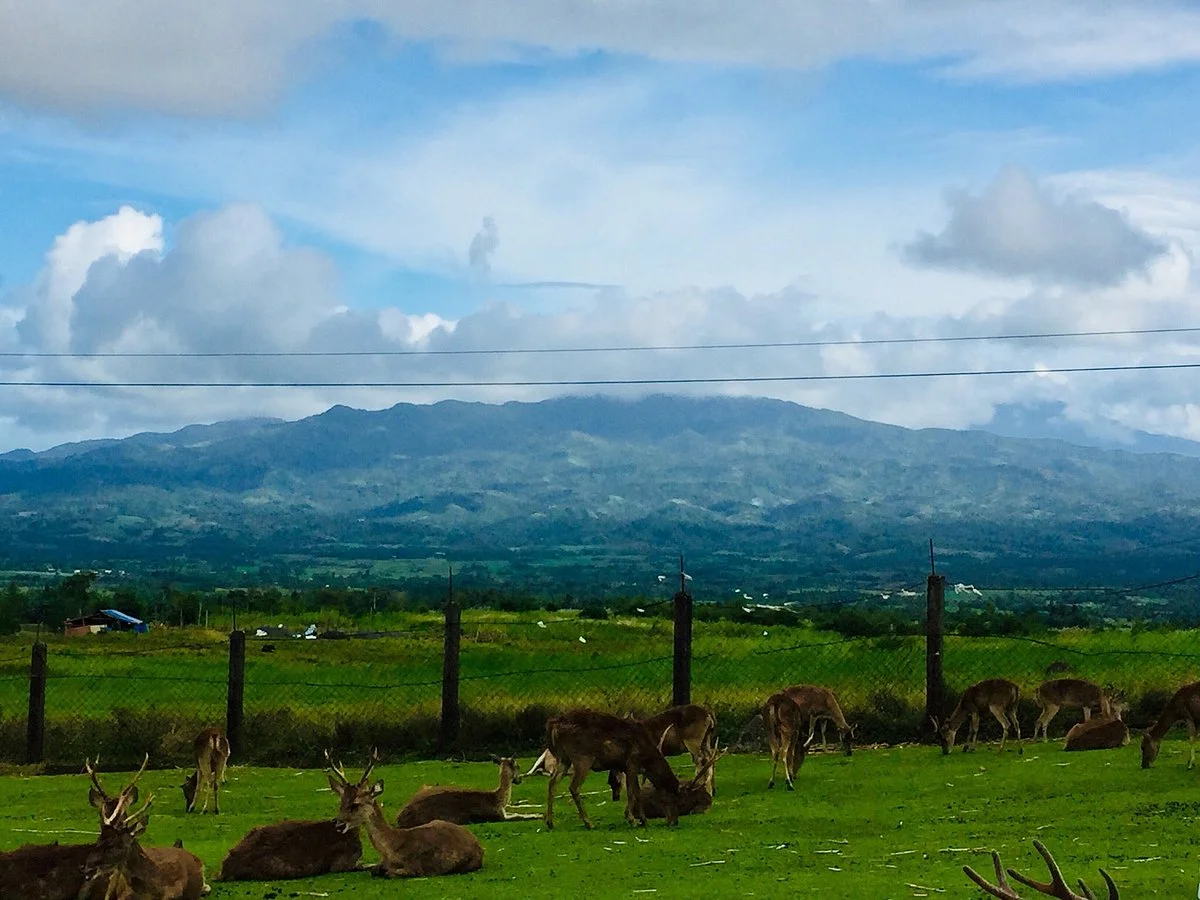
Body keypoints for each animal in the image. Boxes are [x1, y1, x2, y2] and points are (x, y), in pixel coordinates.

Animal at [327, 749, 484, 878]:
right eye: (341, 802)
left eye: (355, 804)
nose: (338, 823)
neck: (392, 850)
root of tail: (477, 843)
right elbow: (375, 870)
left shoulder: (416, 868)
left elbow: (389, 873)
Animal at [393, 756, 540, 827]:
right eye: (518, 766)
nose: (519, 780)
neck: (496, 799)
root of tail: (399, 817)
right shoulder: (497, 816)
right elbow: (518, 816)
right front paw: (539, 815)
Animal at [543, 708, 681, 829]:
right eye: (672, 799)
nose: (675, 822)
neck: (646, 756)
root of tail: (554, 725)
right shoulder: (632, 761)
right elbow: (632, 792)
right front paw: (633, 820)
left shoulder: (625, 766)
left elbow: (637, 792)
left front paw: (643, 820)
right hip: (583, 758)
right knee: (574, 787)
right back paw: (589, 823)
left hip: (563, 758)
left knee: (552, 783)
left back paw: (550, 823)